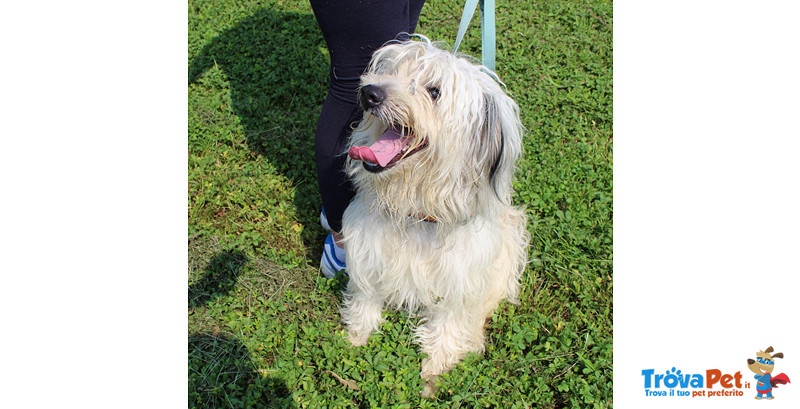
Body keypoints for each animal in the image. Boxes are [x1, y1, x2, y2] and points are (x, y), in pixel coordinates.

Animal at [340, 35, 532, 396]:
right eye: (391, 71)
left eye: (434, 91)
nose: (369, 92)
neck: (416, 210)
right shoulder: (367, 253)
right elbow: (365, 299)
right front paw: (355, 338)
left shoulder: (461, 281)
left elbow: (447, 329)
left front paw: (433, 373)